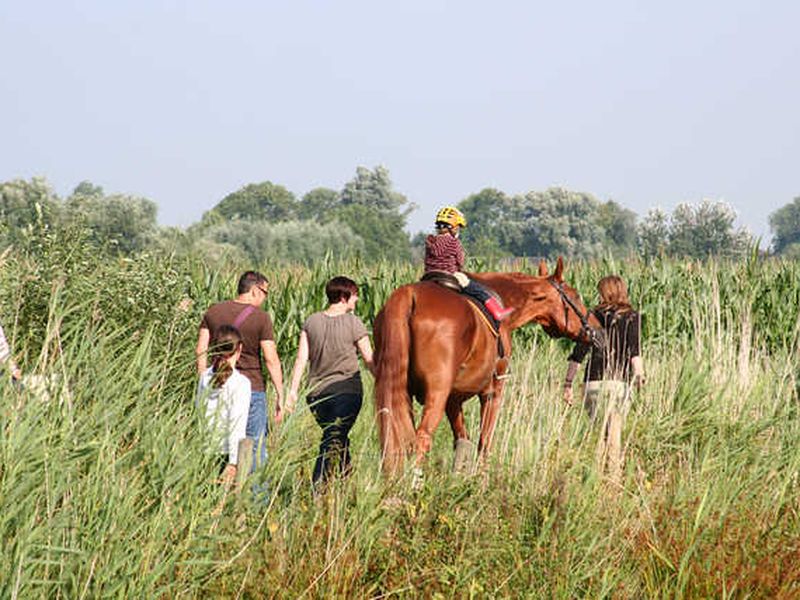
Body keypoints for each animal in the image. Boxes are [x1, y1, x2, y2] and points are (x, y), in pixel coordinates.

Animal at [374, 255, 600, 476]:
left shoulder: (453, 399)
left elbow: (462, 439)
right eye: (576, 296)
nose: (597, 329)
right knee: (421, 438)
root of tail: (410, 295)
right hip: (436, 394)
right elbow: (484, 441)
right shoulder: (492, 392)